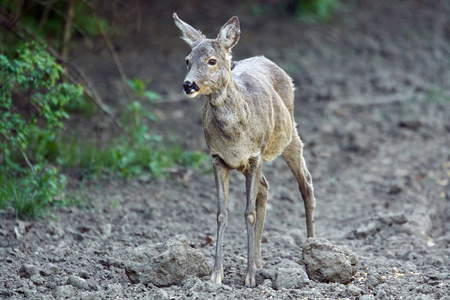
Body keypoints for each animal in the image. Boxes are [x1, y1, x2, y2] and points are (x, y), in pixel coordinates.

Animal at [173, 12, 316, 288]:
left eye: (212, 60)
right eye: (187, 60)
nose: (188, 85)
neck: (234, 135)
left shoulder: (255, 154)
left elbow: (248, 213)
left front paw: (249, 277)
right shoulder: (217, 157)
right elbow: (221, 213)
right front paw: (216, 275)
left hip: (290, 135)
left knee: (306, 183)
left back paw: (312, 248)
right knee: (265, 187)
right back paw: (259, 260)